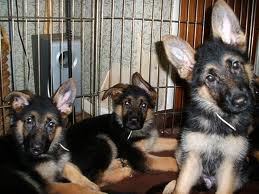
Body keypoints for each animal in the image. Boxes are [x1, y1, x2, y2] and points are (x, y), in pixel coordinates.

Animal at [164, 0, 255, 193]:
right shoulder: (192, 157)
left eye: (235, 65)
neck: (219, 118)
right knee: (176, 179)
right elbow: (181, 186)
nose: (241, 101)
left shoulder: (230, 163)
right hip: (181, 151)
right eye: (210, 78)